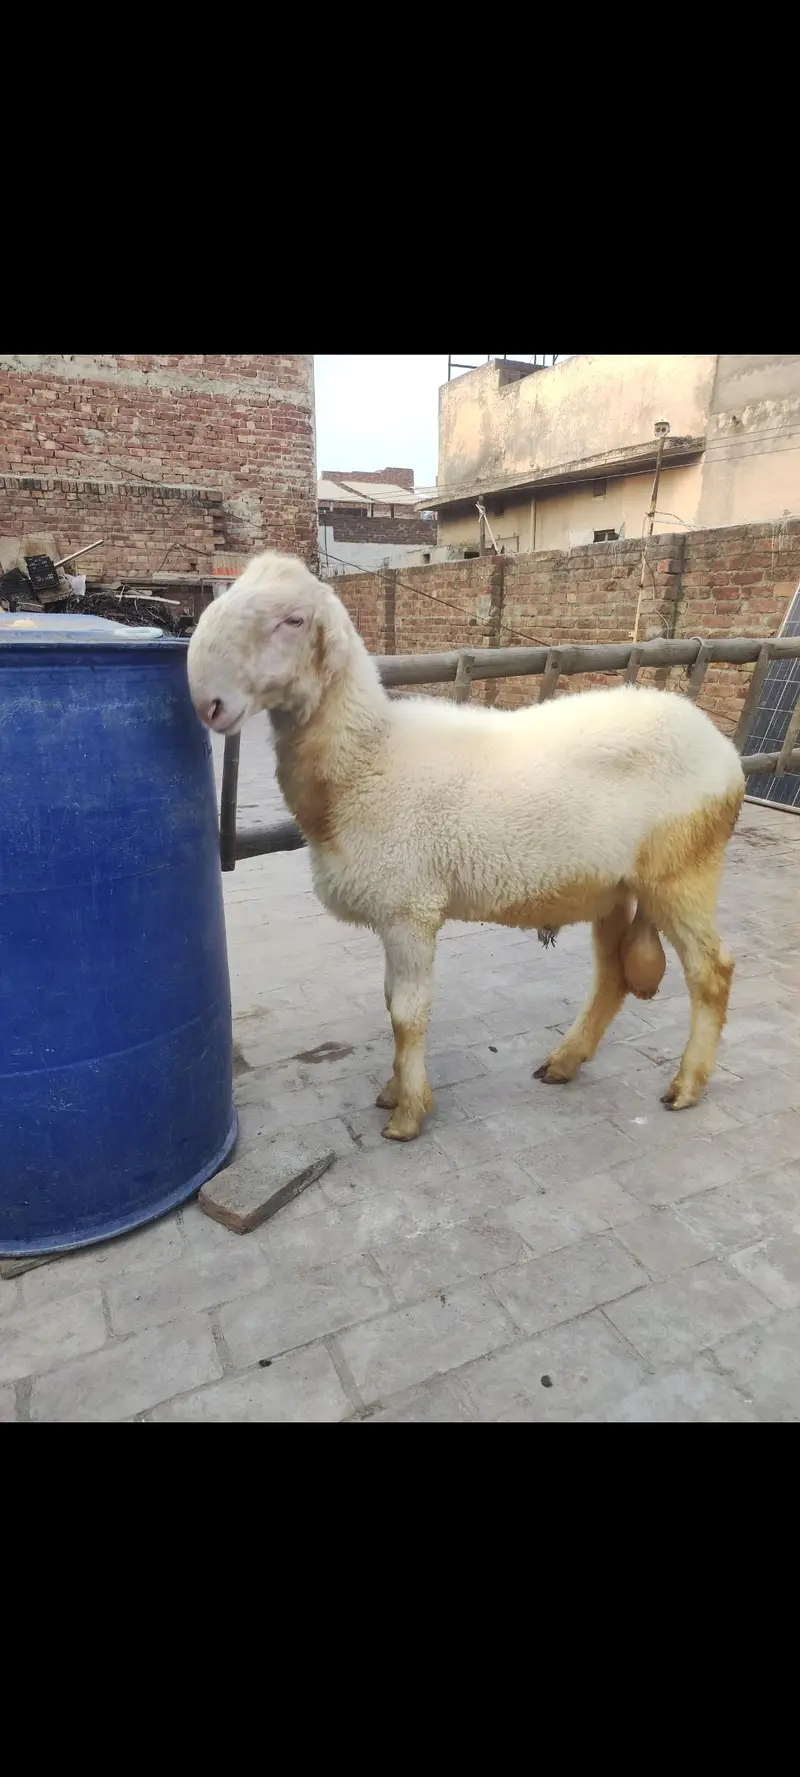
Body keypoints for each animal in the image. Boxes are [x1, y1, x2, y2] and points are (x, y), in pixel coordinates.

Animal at [188, 551, 745, 1143]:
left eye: (293, 620)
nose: (209, 704)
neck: (365, 758)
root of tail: (721, 749)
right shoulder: (395, 912)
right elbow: (389, 1002)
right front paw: (393, 1092)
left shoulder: (410, 910)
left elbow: (406, 1015)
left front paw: (408, 1114)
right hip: (614, 889)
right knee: (613, 977)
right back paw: (564, 1062)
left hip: (683, 872)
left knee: (712, 974)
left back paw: (686, 1085)